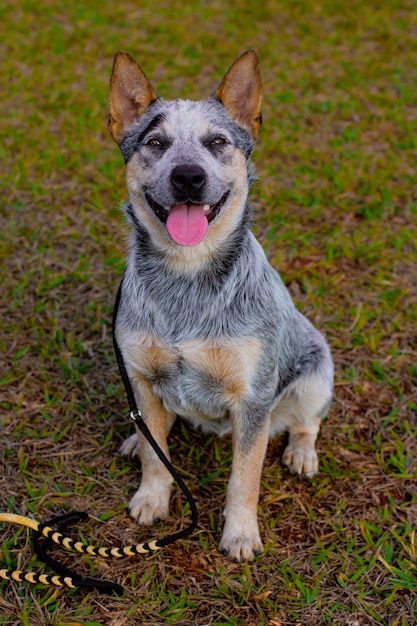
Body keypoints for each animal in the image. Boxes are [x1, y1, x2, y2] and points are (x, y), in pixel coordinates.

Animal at [109, 50, 334, 560]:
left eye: (217, 142)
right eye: (155, 142)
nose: (188, 177)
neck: (185, 278)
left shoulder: (253, 398)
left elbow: (244, 477)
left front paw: (241, 533)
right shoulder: (142, 376)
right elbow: (157, 455)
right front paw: (151, 499)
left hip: (318, 368)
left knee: (306, 422)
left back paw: (301, 454)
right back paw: (135, 438)